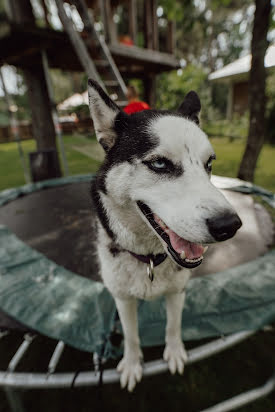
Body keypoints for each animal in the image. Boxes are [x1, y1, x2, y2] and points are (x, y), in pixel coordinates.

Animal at [88, 79, 242, 392]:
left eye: (209, 164)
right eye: (159, 164)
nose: (229, 225)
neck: (149, 258)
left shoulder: (177, 291)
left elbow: (173, 324)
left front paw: (174, 351)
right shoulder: (123, 299)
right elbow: (131, 335)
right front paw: (132, 363)